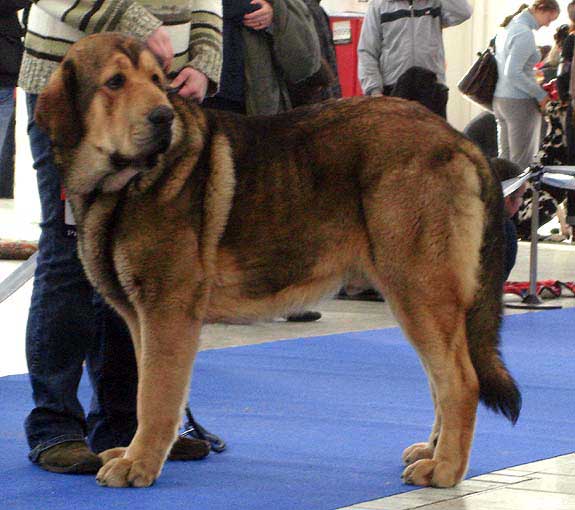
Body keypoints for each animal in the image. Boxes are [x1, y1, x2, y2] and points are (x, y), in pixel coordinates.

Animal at [36, 33, 520, 488]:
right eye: (115, 82)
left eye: (158, 81)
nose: (162, 117)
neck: (123, 186)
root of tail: (458, 141)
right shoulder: (142, 319)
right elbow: (146, 393)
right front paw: (134, 453)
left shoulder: (166, 314)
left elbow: (155, 398)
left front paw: (138, 464)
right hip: (416, 298)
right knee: (440, 380)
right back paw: (432, 451)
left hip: (418, 289)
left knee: (460, 382)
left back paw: (445, 469)